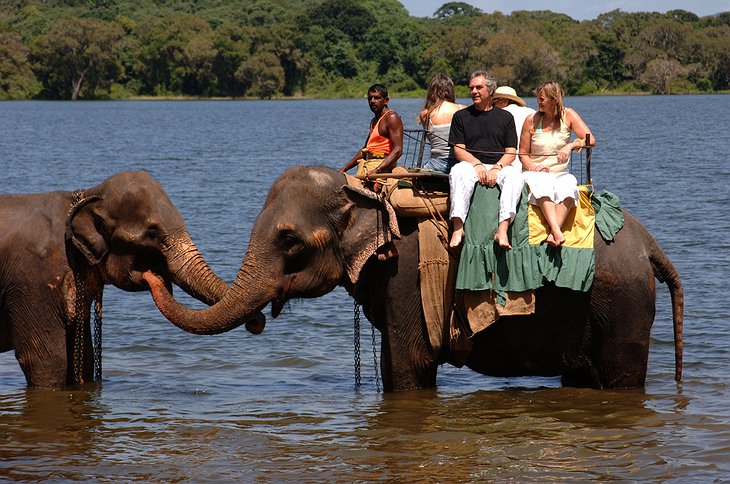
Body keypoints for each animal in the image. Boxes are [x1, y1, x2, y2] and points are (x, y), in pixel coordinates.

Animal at [0, 170, 262, 390]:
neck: (87, 195)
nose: (257, 321)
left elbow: (83, 358)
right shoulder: (34, 282)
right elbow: (47, 361)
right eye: (153, 234)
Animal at [144, 166, 684, 394]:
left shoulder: (403, 277)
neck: (367, 192)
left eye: (290, 242)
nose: (149, 269)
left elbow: (407, 371)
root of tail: (651, 245)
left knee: (620, 380)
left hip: (625, 305)